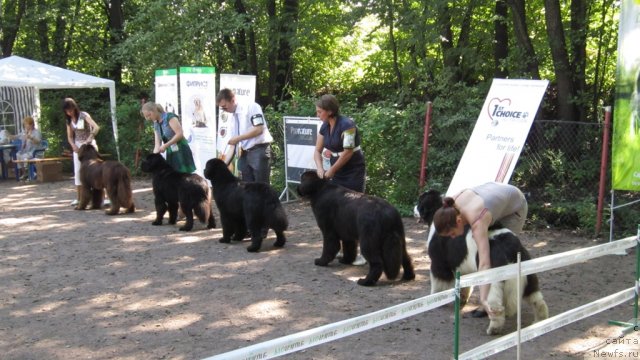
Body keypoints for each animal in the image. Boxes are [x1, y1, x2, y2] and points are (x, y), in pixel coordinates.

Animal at [418, 190, 548, 334]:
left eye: (420, 202)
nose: (414, 208)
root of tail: (509, 245)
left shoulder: (439, 263)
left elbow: (438, 283)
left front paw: (435, 299)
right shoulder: (463, 269)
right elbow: (464, 286)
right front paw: (461, 299)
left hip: (493, 280)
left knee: (495, 307)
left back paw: (494, 328)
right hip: (528, 271)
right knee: (537, 299)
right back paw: (540, 320)